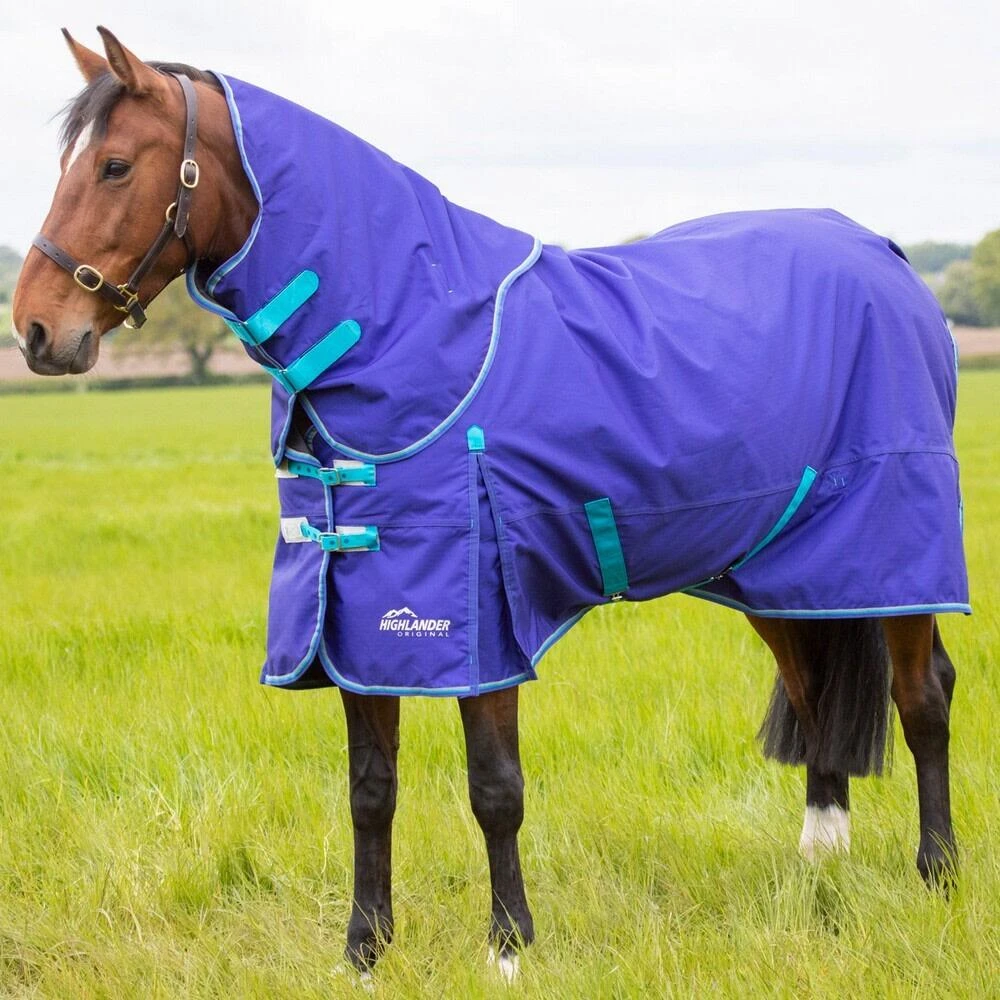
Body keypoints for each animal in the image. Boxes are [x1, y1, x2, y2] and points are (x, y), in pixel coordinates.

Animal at [12, 27, 967, 981]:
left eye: (114, 166)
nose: (35, 329)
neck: (410, 330)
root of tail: (883, 253)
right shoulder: (355, 619)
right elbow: (370, 790)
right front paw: (364, 952)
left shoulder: (479, 619)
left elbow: (495, 788)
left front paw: (509, 947)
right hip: (781, 569)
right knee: (813, 692)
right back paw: (820, 866)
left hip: (895, 550)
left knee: (923, 696)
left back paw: (938, 875)